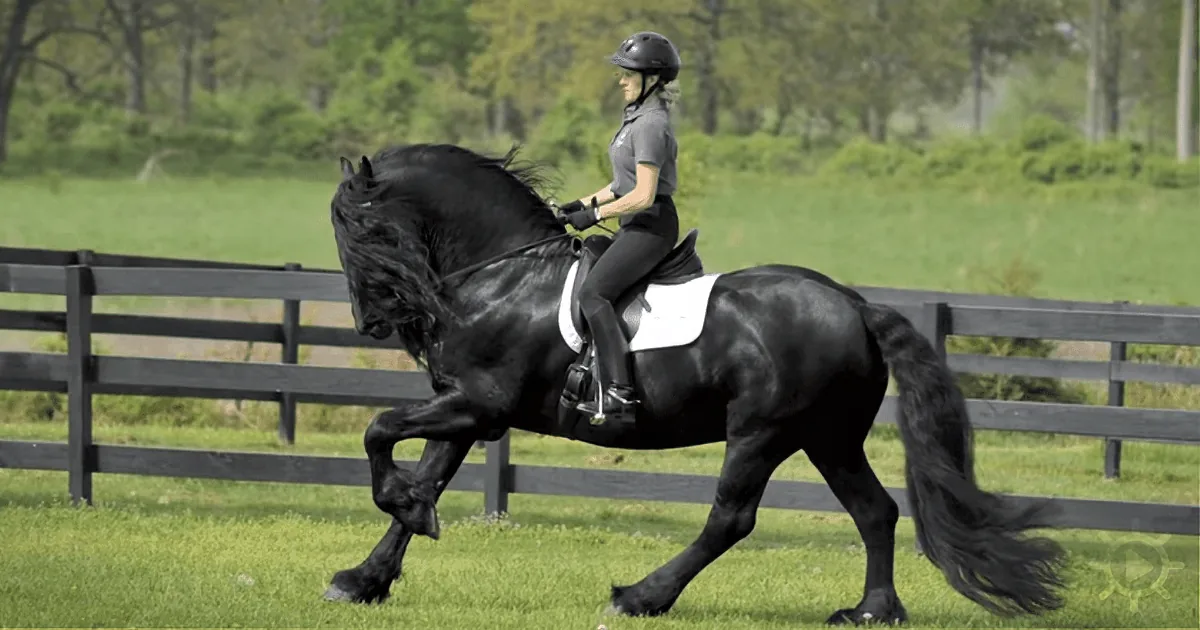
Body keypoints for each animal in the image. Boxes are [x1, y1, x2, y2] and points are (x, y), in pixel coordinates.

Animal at [321, 142, 1068, 625]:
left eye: (363, 227)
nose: (371, 322)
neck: (504, 274)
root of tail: (854, 305)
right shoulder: (465, 407)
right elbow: (424, 477)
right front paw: (366, 576)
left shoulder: (479, 404)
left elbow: (379, 432)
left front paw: (396, 518)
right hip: (828, 438)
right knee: (875, 512)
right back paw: (872, 611)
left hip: (762, 433)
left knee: (731, 519)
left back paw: (640, 597)